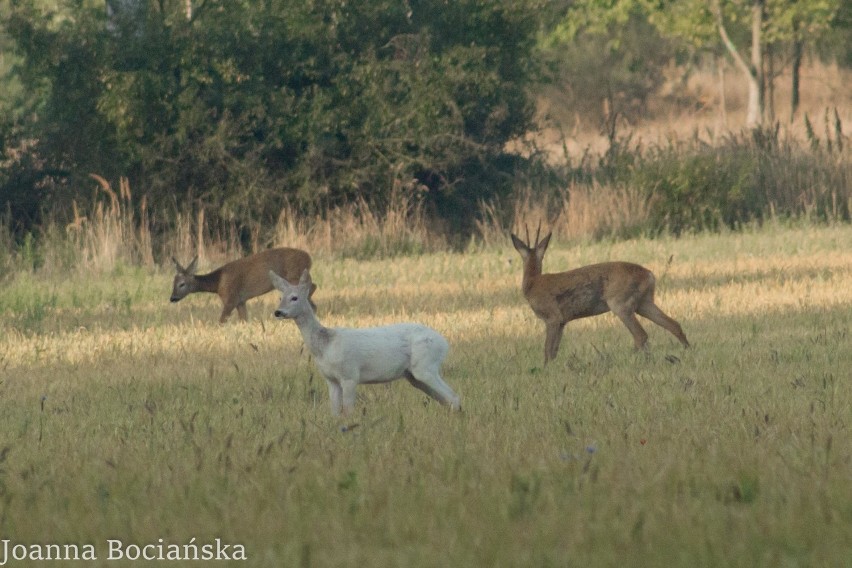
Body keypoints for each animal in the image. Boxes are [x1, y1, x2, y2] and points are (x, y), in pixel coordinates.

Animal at [170, 246, 316, 322]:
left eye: (182, 284)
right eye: (173, 282)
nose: (172, 298)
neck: (218, 283)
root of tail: (309, 258)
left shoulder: (231, 298)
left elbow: (222, 320)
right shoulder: (241, 301)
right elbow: (244, 319)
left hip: (294, 276)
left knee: (311, 288)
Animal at [272, 268, 460, 414]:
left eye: (294, 297)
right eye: (280, 297)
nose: (278, 312)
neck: (325, 346)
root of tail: (444, 343)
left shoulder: (350, 375)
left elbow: (348, 411)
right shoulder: (331, 380)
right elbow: (334, 413)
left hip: (425, 365)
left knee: (453, 396)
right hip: (414, 376)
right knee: (446, 399)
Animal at [510, 226, 688, 364]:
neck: (533, 283)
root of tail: (649, 275)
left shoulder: (553, 317)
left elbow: (547, 350)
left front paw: (547, 369)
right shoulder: (562, 322)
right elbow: (554, 351)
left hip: (620, 303)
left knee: (641, 335)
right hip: (644, 303)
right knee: (673, 324)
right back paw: (686, 351)